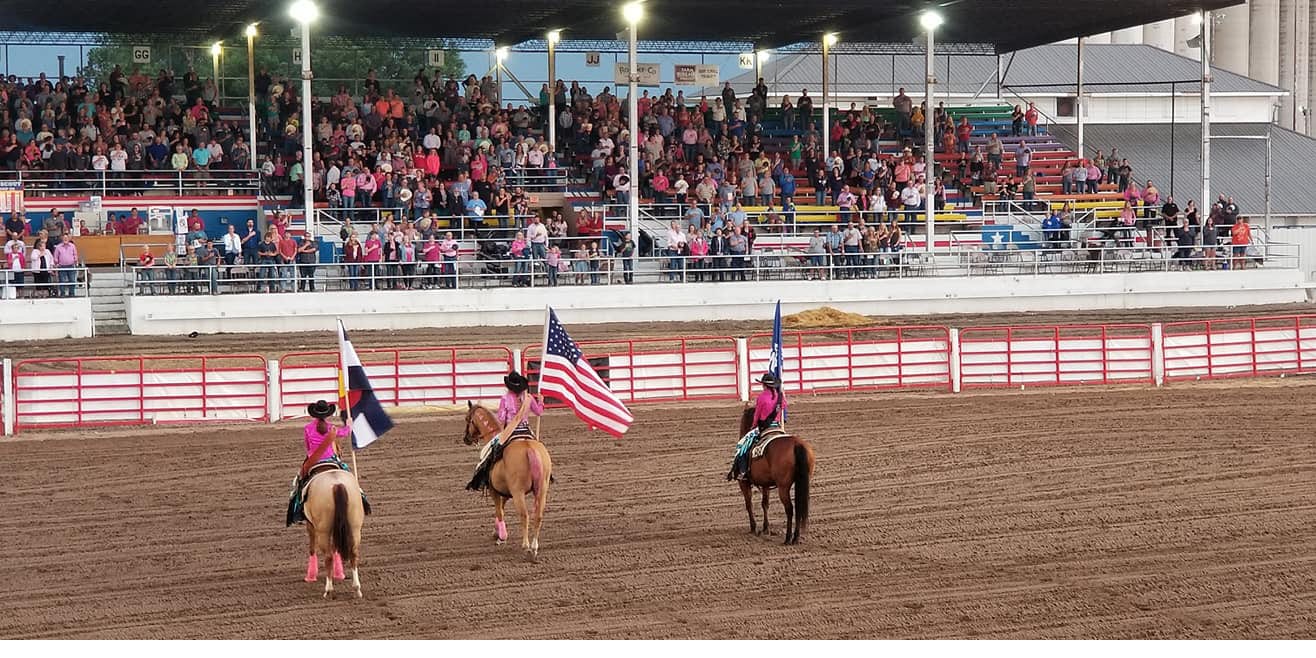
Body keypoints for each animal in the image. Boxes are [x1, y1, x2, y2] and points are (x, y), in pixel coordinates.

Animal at [302, 465, 365, 600]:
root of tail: (337, 485)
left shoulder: (310, 524)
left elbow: (312, 546)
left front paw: (311, 575)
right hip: (355, 527)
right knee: (353, 553)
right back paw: (356, 588)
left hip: (323, 531)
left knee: (328, 557)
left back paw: (328, 590)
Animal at [463, 400, 550, 560]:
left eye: (467, 419)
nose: (466, 439)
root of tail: (530, 449)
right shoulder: (504, 491)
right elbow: (501, 508)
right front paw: (496, 532)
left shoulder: (493, 489)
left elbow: (499, 511)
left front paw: (501, 536)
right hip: (542, 490)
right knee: (538, 516)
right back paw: (534, 547)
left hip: (518, 492)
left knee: (524, 515)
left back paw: (526, 547)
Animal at [742, 405, 810, 544]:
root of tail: (797, 444)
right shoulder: (765, 484)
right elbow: (765, 503)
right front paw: (765, 528)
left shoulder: (743, 483)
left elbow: (749, 503)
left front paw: (753, 527)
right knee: (799, 507)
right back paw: (796, 537)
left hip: (783, 487)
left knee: (789, 509)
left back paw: (788, 538)